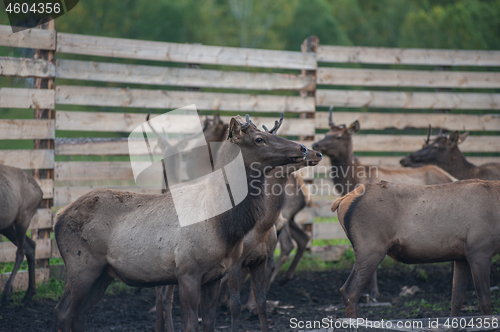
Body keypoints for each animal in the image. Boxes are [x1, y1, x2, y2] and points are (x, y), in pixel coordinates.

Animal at [0, 165, 42, 304]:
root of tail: (41, 191)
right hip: (7, 225)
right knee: (31, 245)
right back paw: (29, 292)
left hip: (24, 218)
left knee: (22, 249)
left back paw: (7, 292)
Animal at [52, 115, 306, 332]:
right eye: (259, 139)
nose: (303, 148)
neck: (222, 225)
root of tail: (57, 217)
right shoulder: (187, 272)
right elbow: (191, 324)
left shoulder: (215, 276)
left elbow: (209, 324)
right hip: (81, 266)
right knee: (63, 313)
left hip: (103, 273)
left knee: (80, 316)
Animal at [310, 107, 456, 298]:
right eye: (327, 133)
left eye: (339, 136)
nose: (316, 145)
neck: (352, 180)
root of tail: (452, 177)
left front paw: (373, 293)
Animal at [332, 179, 500, 320]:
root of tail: (341, 201)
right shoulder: (479, 251)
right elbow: (484, 300)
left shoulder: (461, 257)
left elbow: (456, 299)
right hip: (371, 248)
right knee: (349, 290)